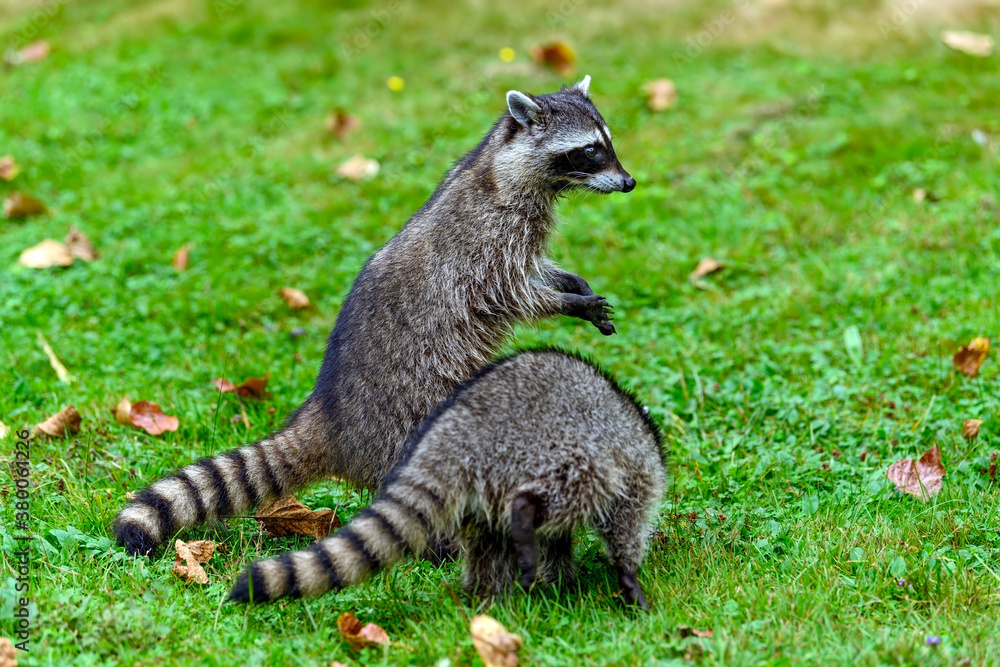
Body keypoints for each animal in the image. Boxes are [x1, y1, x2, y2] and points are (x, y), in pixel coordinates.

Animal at [115, 76, 638, 557]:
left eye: (607, 143)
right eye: (589, 151)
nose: (630, 183)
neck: (500, 166)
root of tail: (328, 415)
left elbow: (536, 269)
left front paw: (571, 283)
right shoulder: (485, 242)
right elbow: (512, 292)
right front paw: (566, 303)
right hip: (408, 408)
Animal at [229, 349, 665, 609]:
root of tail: (457, 434)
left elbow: (558, 540)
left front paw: (561, 578)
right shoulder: (633, 467)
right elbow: (623, 521)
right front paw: (626, 572)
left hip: (484, 487)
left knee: (490, 543)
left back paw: (484, 593)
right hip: (544, 452)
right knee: (565, 494)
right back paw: (525, 518)